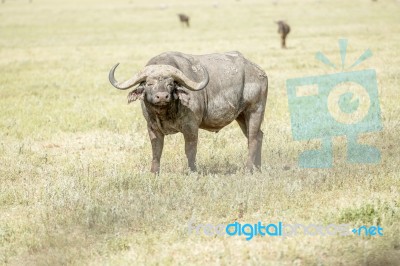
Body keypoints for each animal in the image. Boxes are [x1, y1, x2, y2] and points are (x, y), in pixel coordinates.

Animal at [108, 51, 268, 172]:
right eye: (149, 83)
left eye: (170, 83)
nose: (162, 96)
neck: (166, 113)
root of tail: (259, 72)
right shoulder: (152, 128)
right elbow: (156, 150)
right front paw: (154, 172)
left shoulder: (191, 127)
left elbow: (190, 150)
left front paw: (192, 171)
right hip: (241, 116)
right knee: (258, 136)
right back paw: (258, 168)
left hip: (255, 110)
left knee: (253, 138)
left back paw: (248, 169)